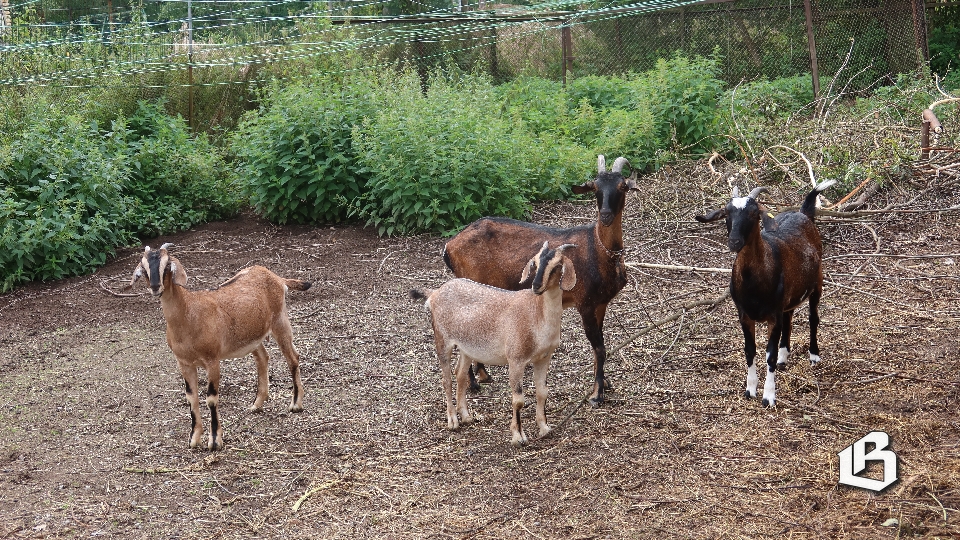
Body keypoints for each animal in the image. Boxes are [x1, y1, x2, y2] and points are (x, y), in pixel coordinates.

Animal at [124, 245, 310, 452]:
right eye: (144, 267)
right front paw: (194, 438)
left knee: (293, 357)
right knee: (263, 357)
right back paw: (257, 404)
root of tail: (276, 277)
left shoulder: (212, 360)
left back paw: (296, 404)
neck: (188, 314)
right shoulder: (184, 363)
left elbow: (211, 398)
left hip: (280, 321)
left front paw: (214, 441)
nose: (156, 287)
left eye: (166, 266)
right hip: (252, 336)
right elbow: (191, 397)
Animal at [408, 243, 572, 446]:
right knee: (446, 379)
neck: (537, 314)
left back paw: (466, 416)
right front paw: (518, 437)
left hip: (467, 346)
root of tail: (434, 293)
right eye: (535, 262)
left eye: (557, 265)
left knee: (460, 373)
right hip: (442, 339)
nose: (536, 286)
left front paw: (545, 429)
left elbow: (542, 392)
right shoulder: (516, 359)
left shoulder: (544, 358)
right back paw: (453, 420)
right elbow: (518, 400)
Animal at [442, 155, 636, 404]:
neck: (598, 249)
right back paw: (474, 382)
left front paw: (604, 383)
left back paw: (483, 375)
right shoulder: (585, 303)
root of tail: (449, 247)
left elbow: (599, 346)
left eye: (622, 186)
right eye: (595, 188)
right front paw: (596, 394)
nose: (605, 216)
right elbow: (599, 347)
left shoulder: (600, 304)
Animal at [696, 180, 832, 404]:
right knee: (790, 317)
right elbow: (750, 351)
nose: (734, 242)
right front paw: (750, 389)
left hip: (817, 283)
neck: (754, 283)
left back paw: (813, 355)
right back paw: (785, 357)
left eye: (754, 213)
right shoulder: (744, 315)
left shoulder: (773, 316)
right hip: (789, 297)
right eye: (726, 212)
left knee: (813, 318)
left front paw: (768, 396)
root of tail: (804, 213)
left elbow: (770, 354)